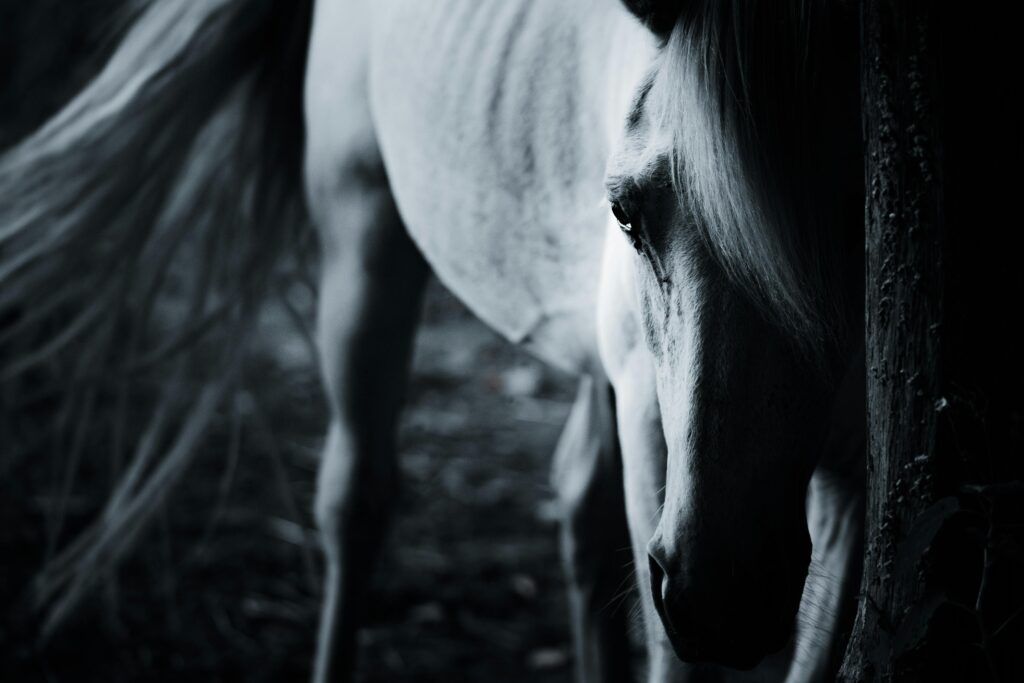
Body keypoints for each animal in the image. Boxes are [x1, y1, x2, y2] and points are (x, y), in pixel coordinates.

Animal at [0, 1, 864, 683]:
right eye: (625, 212)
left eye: (860, 220)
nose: (725, 596)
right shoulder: (655, 430)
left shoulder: (851, 477)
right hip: (364, 241)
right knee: (357, 498)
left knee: (578, 504)